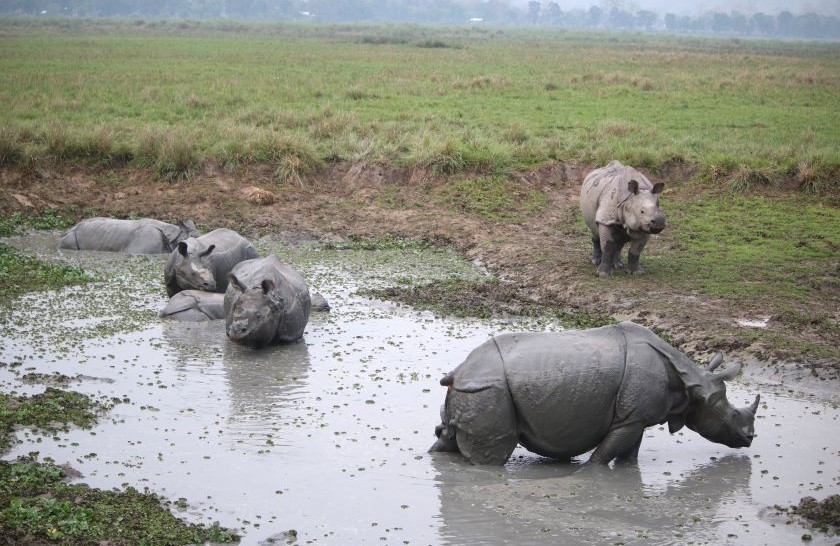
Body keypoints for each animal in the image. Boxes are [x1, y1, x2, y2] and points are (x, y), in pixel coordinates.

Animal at [430, 322, 759, 466]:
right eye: (732, 414)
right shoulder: (631, 419)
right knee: (492, 460)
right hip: (489, 391)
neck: (690, 382)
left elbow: (628, 456)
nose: (750, 438)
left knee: (448, 440)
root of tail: (459, 373)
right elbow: (602, 457)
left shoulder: (634, 417)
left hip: (475, 390)